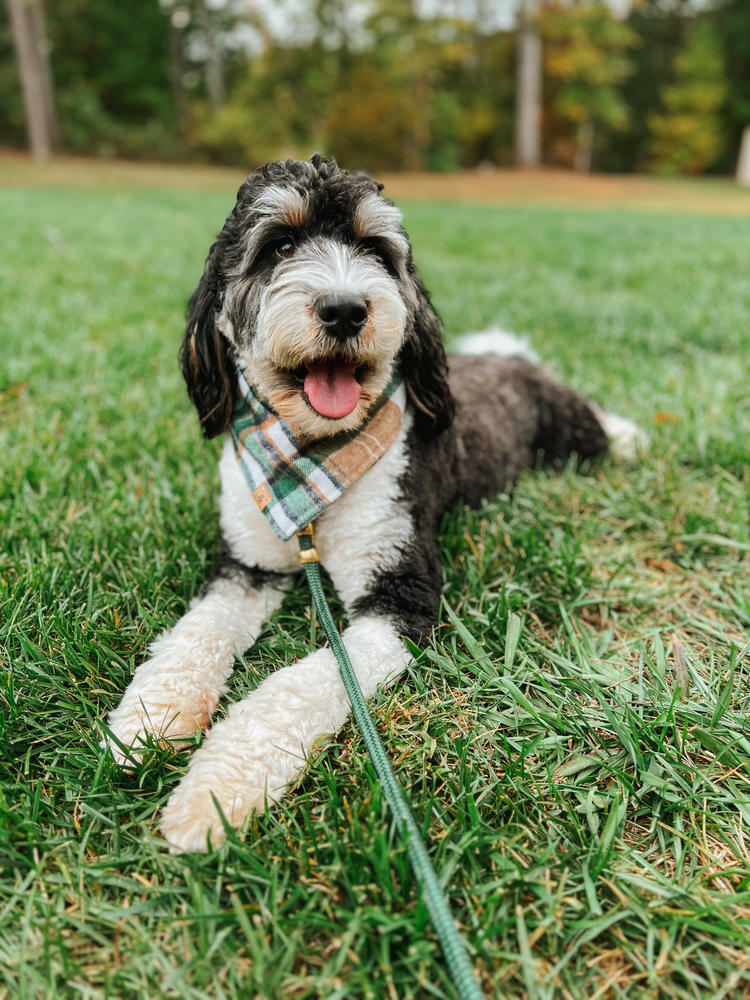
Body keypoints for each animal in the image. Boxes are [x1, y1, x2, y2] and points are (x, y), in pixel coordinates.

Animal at [104, 156, 648, 852]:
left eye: (376, 250)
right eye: (279, 245)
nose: (344, 308)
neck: (312, 463)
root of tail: (504, 357)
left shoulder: (399, 596)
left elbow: (297, 687)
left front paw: (215, 792)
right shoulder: (245, 564)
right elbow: (193, 637)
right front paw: (152, 718)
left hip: (567, 429)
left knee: (598, 426)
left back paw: (631, 437)